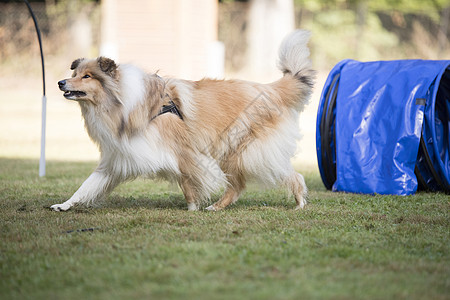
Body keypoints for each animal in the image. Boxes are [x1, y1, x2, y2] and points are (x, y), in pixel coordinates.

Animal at [51, 29, 314, 211]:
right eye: (75, 73)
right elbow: (87, 185)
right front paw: (64, 205)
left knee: (290, 176)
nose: (60, 82)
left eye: (87, 76)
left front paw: (192, 208)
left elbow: (188, 183)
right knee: (239, 186)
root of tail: (269, 88)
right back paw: (217, 206)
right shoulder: (118, 157)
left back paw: (299, 203)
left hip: (241, 150)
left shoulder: (184, 152)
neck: (121, 103)